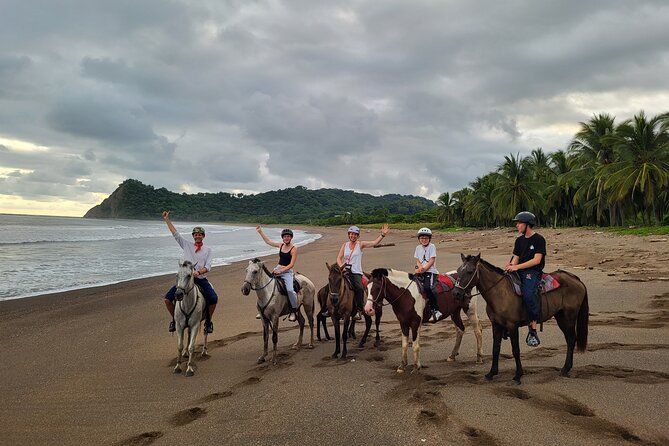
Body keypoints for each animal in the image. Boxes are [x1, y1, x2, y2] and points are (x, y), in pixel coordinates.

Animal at [452, 253, 588, 386]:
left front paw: (517, 376)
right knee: (570, 339)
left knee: (571, 339)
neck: (499, 292)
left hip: (568, 317)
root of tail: (575, 279)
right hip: (561, 317)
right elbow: (495, 348)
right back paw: (566, 368)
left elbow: (516, 350)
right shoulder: (496, 324)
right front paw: (491, 373)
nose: (456, 293)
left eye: (470, 271)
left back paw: (565, 368)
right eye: (458, 271)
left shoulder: (512, 326)